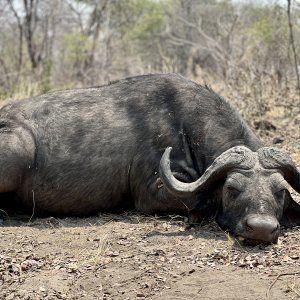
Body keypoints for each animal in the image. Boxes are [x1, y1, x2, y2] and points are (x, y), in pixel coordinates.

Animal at [0, 73, 300, 244]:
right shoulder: (152, 193)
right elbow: (202, 197)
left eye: (280, 191)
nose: (261, 228)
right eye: (232, 189)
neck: (186, 125)